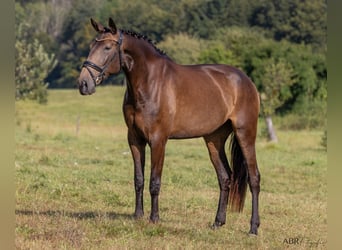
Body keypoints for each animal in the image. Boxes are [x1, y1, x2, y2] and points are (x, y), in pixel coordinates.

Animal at [77, 18, 260, 234]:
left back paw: (253, 228)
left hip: (245, 133)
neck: (150, 82)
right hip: (214, 139)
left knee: (254, 178)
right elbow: (138, 179)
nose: (83, 84)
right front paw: (138, 216)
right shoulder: (134, 139)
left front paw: (154, 218)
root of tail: (246, 80)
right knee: (225, 177)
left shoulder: (158, 140)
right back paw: (218, 222)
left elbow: (154, 182)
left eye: (107, 47)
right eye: (91, 46)